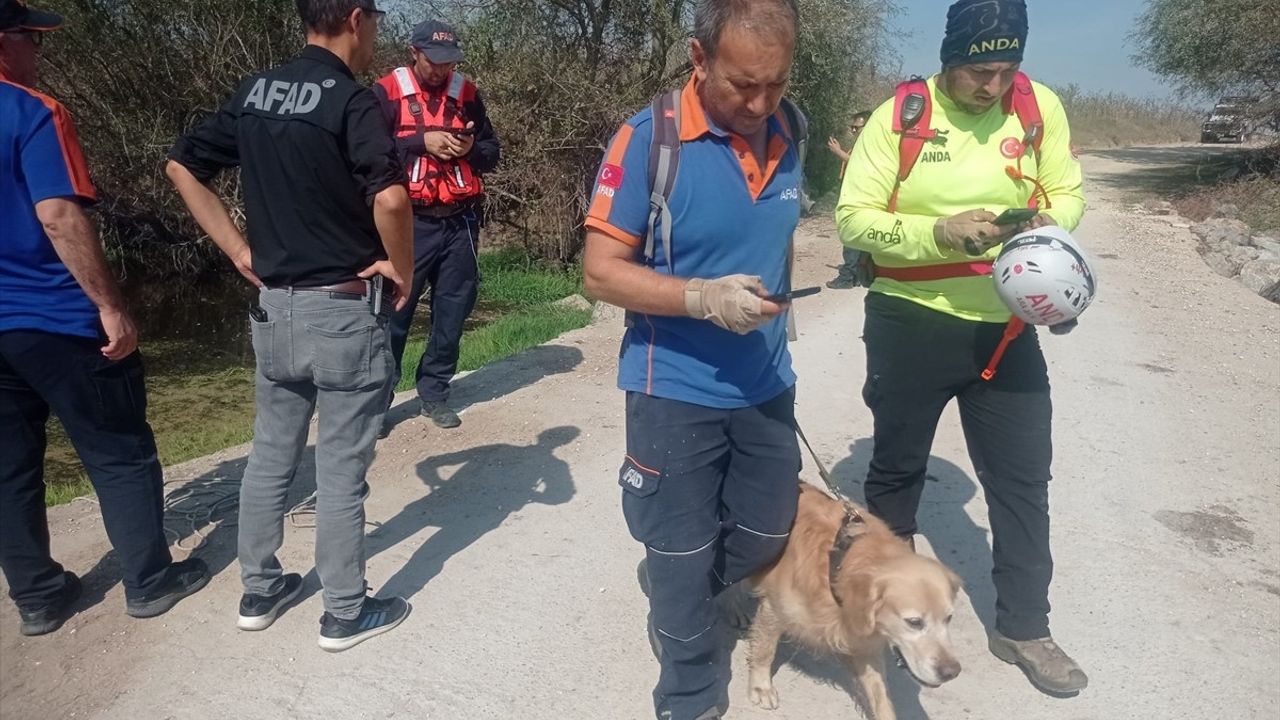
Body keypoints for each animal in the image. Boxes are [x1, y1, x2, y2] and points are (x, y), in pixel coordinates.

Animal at [747, 481, 962, 717]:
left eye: (949, 618)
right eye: (914, 622)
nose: (951, 672)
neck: (838, 563)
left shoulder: (863, 645)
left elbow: (880, 695)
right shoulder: (774, 609)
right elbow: (765, 650)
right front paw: (761, 686)